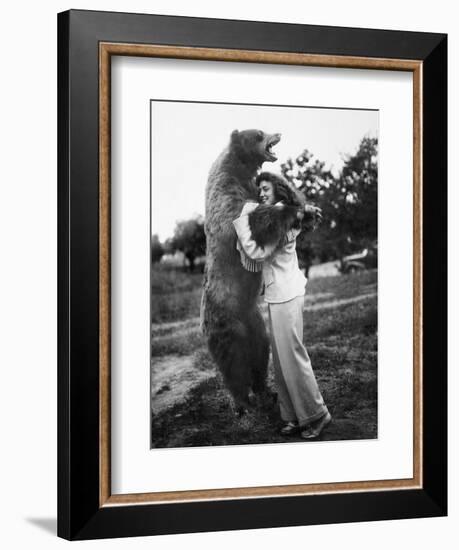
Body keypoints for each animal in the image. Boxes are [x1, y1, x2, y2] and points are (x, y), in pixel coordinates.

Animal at [201, 129, 302, 414]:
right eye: (258, 133)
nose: (277, 133)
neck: (238, 168)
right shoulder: (226, 198)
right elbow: (249, 219)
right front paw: (291, 208)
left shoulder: (249, 188)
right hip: (227, 320)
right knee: (233, 363)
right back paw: (242, 402)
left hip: (254, 319)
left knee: (260, 351)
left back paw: (266, 391)